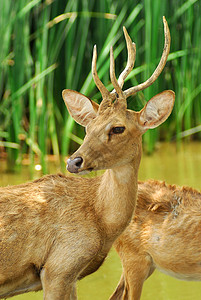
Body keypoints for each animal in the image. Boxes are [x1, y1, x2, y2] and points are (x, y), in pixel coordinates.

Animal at [0, 17, 174, 300]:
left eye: (118, 128)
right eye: (87, 127)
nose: (74, 161)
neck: (100, 223)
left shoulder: (69, 276)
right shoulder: (58, 267)